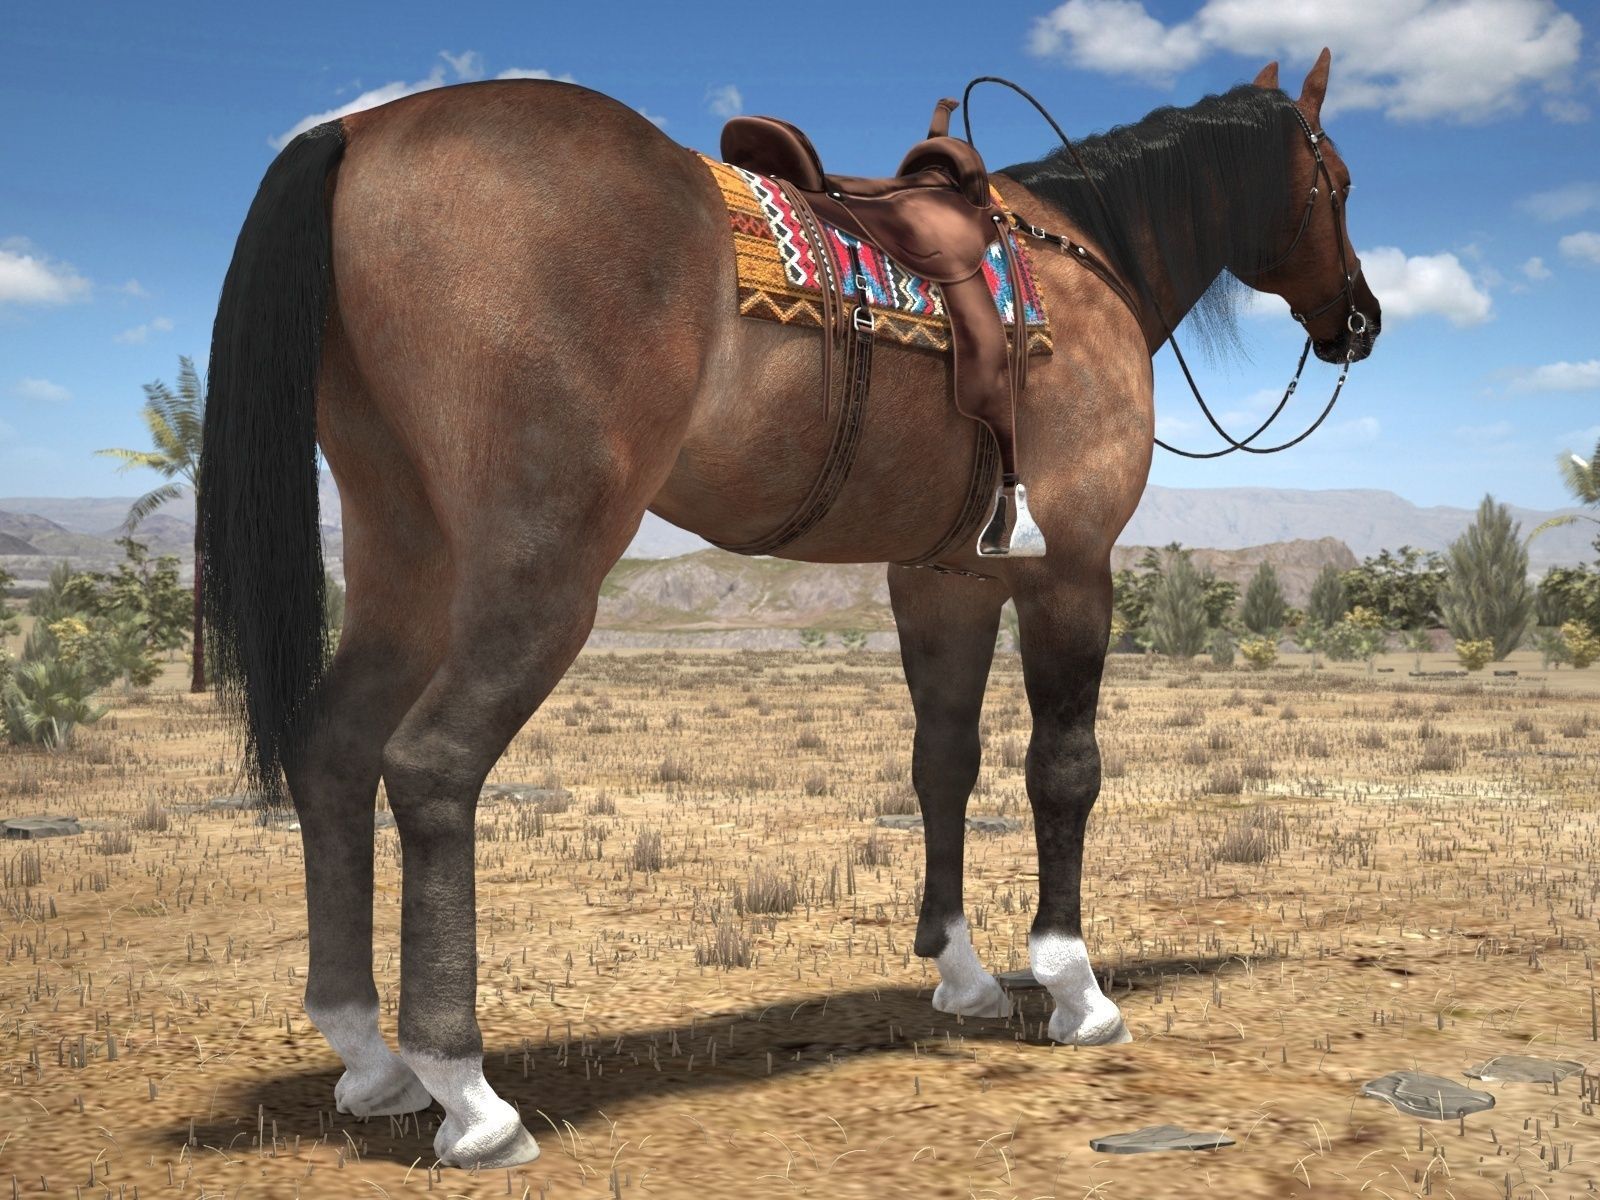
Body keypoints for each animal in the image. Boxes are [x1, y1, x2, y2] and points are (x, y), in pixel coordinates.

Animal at [198, 49, 1381, 1168]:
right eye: (1338, 180)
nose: (1360, 320)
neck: (1083, 260)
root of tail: (361, 132)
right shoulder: (1072, 567)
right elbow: (1064, 770)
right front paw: (1074, 987)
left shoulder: (943, 578)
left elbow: (942, 763)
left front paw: (960, 972)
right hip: (535, 570)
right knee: (431, 766)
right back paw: (470, 1097)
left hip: (406, 556)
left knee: (334, 751)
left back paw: (369, 1059)